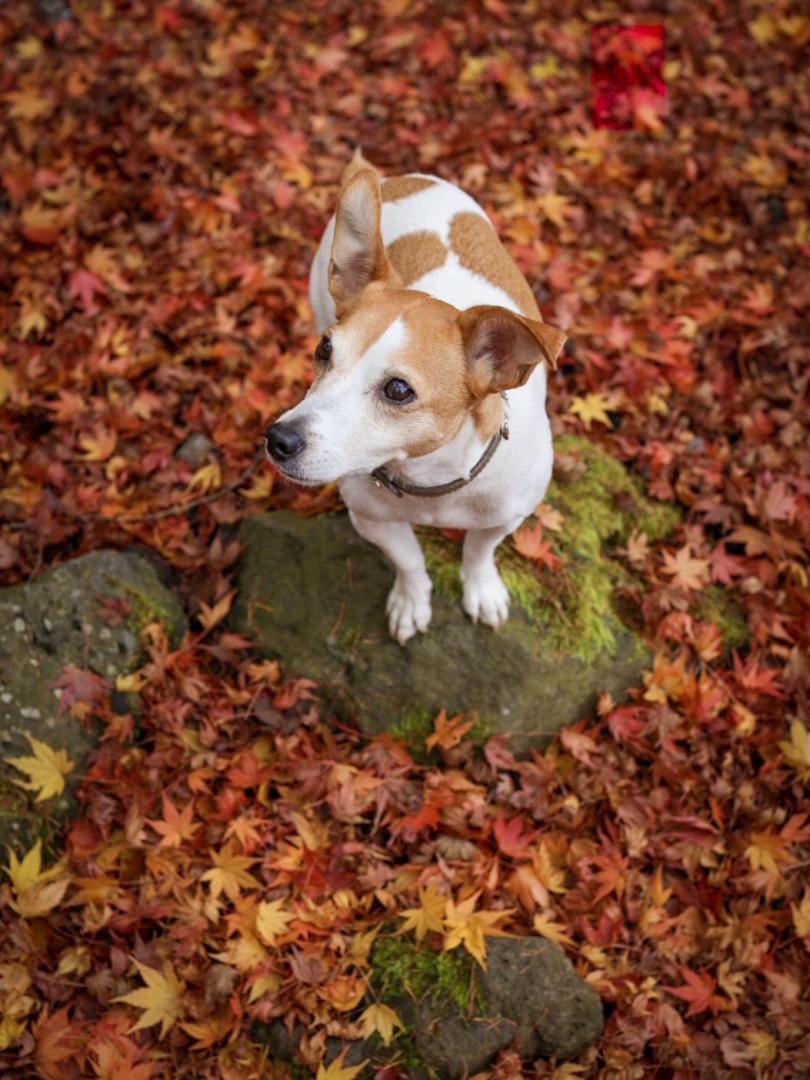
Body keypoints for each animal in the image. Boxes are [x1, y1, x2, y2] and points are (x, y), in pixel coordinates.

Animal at [264, 150, 565, 639]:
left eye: (398, 390)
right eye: (324, 350)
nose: (278, 439)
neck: (431, 482)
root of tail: (399, 178)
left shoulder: (506, 516)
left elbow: (479, 551)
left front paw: (481, 589)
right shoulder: (371, 518)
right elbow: (408, 559)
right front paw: (411, 600)